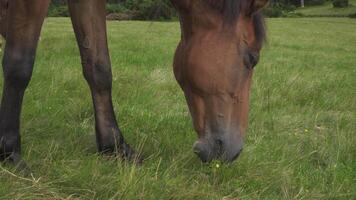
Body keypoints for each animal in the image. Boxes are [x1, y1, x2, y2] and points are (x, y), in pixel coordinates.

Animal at [0, 0, 268, 166]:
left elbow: (98, 67)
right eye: (252, 59)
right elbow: (20, 64)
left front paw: (115, 146)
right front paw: (10, 151)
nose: (234, 151)